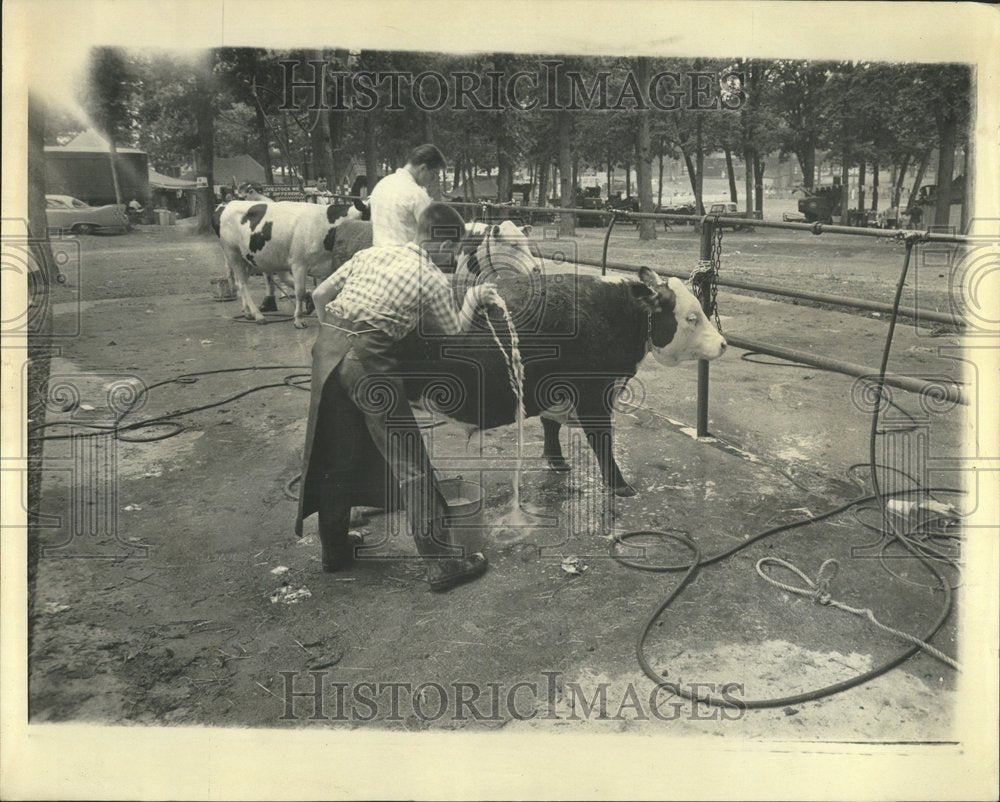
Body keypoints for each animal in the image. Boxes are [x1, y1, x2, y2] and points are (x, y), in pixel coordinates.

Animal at [396, 268, 728, 494]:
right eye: (691, 318)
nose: (724, 344)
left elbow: (550, 424)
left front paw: (556, 461)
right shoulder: (593, 395)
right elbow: (601, 439)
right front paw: (620, 486)